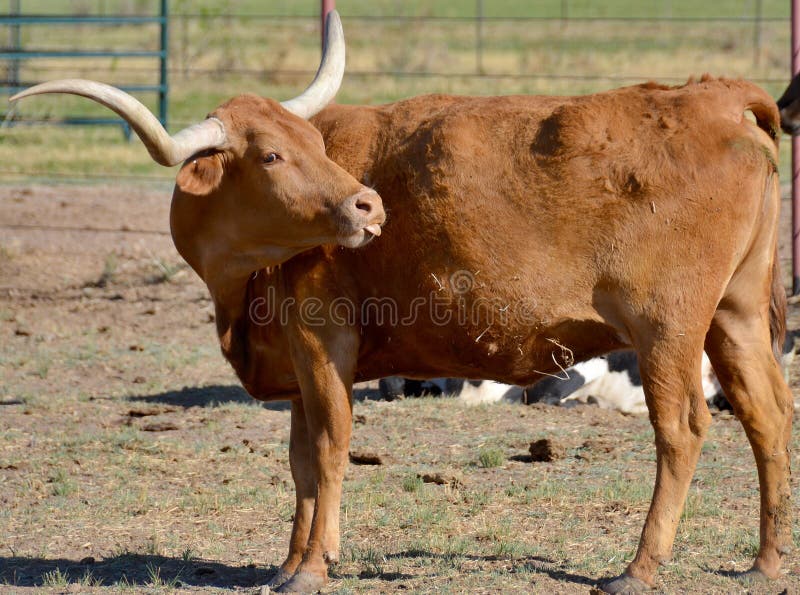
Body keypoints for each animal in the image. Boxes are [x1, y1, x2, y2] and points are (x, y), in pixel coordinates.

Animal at [14, 59, 792, 595]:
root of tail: (716, 95)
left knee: (682, 428)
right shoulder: (297, 359)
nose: (367, 204)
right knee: (767, 414)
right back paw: (765, 559)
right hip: (734, 316)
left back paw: (639, 567)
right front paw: (288, 561)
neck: (245, 286)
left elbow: (328, 449)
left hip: (667, 328)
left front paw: (313, 567)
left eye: (311, 142)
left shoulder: (324, 341)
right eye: (273, 152)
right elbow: (300, 461)